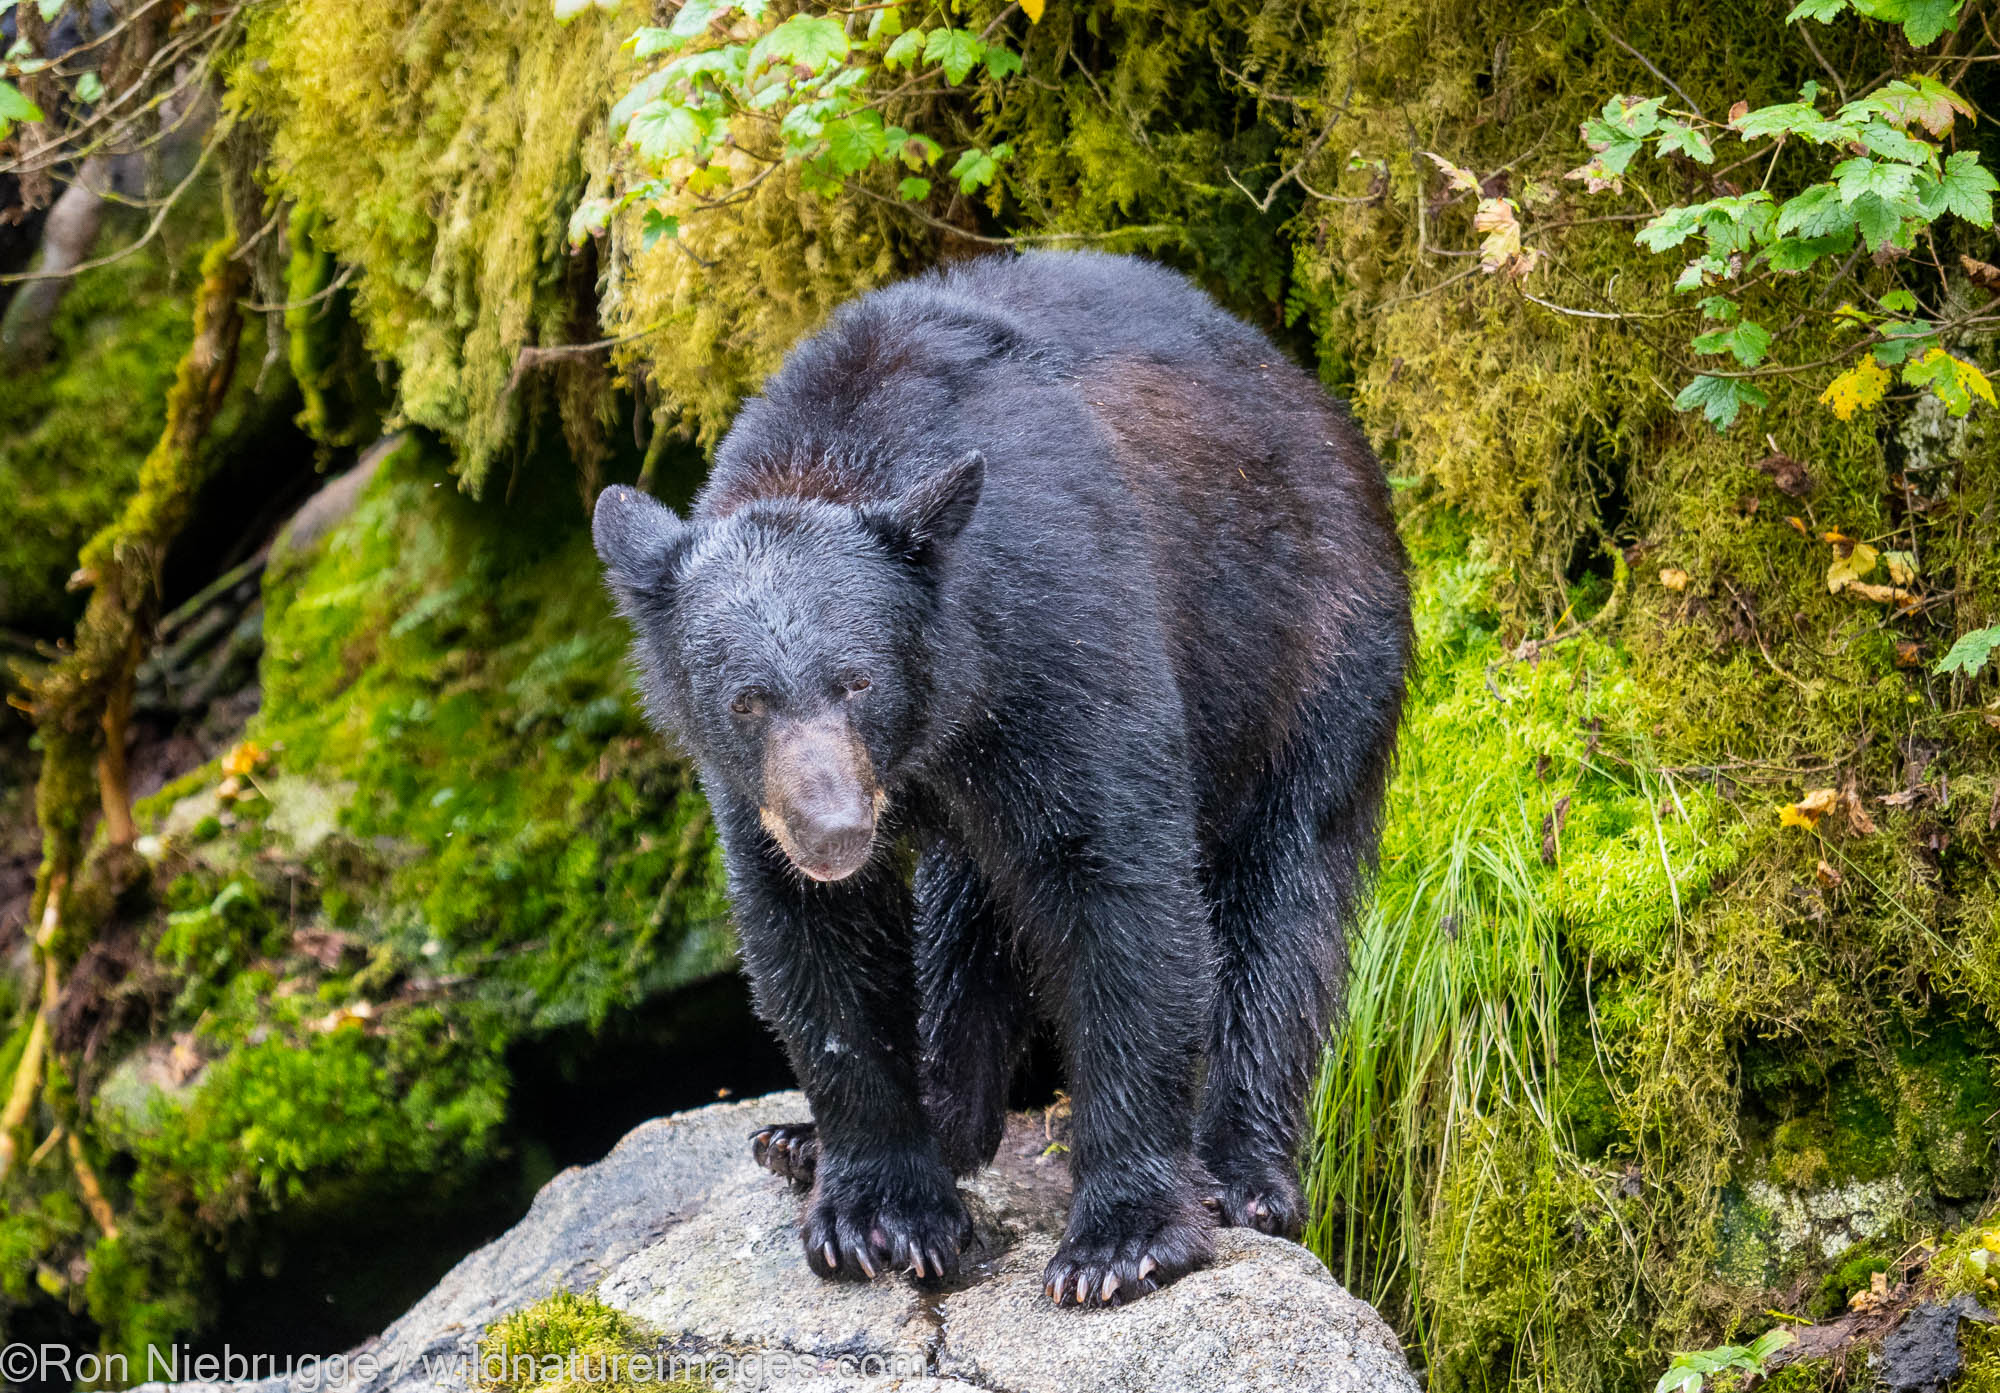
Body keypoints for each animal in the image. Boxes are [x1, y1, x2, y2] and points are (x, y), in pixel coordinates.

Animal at [592, 250, 1408, 1304]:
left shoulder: (1064, 633)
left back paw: (1244, 1171)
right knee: (967, 912)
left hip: (1312, 646)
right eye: (746, 700)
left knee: (1285, 897)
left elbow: (1120, 889)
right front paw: (874, 1209)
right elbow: (815, 947)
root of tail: (1315, 395)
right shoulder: (758, 796)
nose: (832, 831)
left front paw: (1122, 1238)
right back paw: (844, 1133)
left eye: (857, 678)